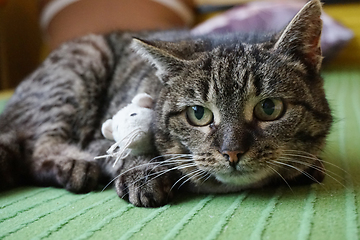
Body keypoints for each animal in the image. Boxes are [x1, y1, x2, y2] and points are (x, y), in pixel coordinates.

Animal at [0, 0, 332, 206]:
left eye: (269, 108)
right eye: (198, 114)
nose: (232, 152)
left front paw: (306, 166)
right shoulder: (102, 135)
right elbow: (124, 153)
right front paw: (144, 174)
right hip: (81, 66)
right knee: (36, 151)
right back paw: (74, 165)